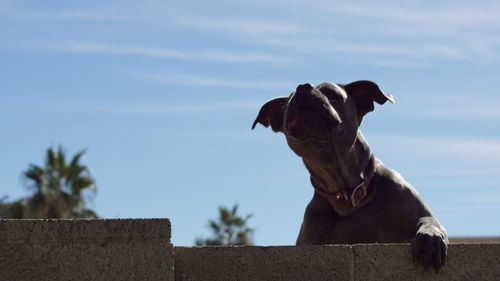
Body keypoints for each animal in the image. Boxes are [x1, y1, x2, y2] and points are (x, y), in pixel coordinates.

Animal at [254, 80, 450, 272]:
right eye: (288, 102)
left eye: (331, 93)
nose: (302, 87)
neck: (349, 196)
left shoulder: (416, 210)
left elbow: (428, 220)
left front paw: (430, 238)